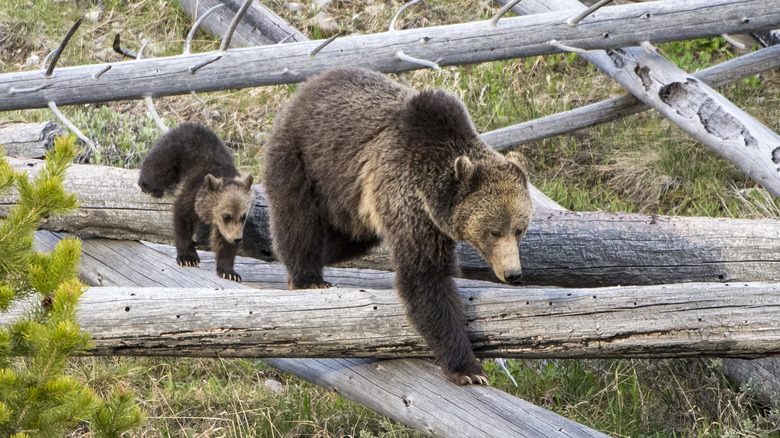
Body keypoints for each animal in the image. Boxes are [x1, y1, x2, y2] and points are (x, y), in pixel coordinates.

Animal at [137, 124, 253, 280]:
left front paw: (229, 272)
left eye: (243, 216)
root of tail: (184, 126)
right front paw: (188, 257)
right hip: (173, 152)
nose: (237, 238)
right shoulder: (193, 193)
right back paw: (149, 187)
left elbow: (224, 243)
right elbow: (182, 218)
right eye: (226, 216)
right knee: (158, 169)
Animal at [266, 67, 532, 384]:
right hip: (304, 157)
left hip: (350, 201)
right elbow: (425, 277)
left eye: (519, 229)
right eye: (494, 231)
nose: (513, 274)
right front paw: (467, 368)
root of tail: (308, 85)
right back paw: (307, 277)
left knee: (343, 239)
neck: (433, 198)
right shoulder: (406, 198)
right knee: (298, 221)